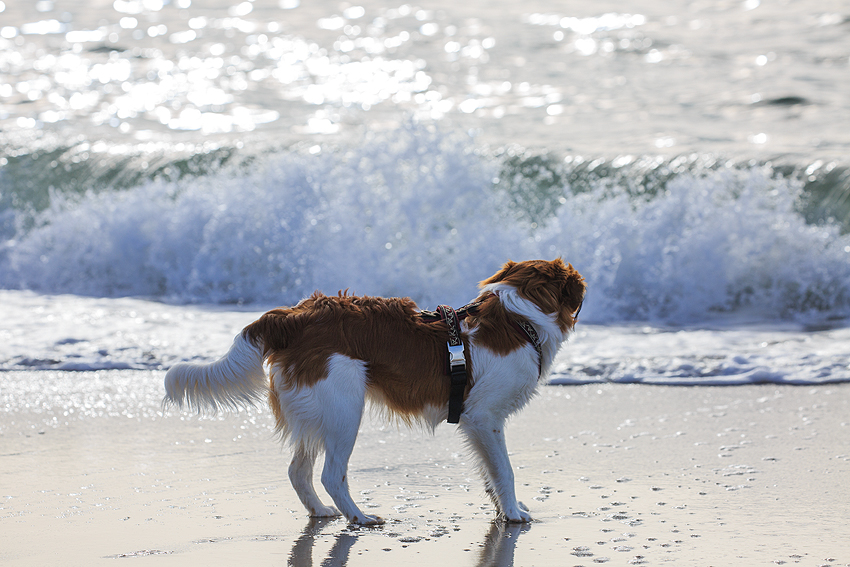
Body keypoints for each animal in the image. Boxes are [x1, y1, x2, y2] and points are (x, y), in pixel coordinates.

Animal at [163, 260, 584, 524]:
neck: (519, 319)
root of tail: (295, 316)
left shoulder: (477, 426)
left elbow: (490, 473)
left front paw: (502, 508)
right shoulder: (484, 418)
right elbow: (506, 471)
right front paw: (512, 514)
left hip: (317, 413)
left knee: (298, 471)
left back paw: (321, 512)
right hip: (345, 411)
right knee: (331, 474)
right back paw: (359, 516)